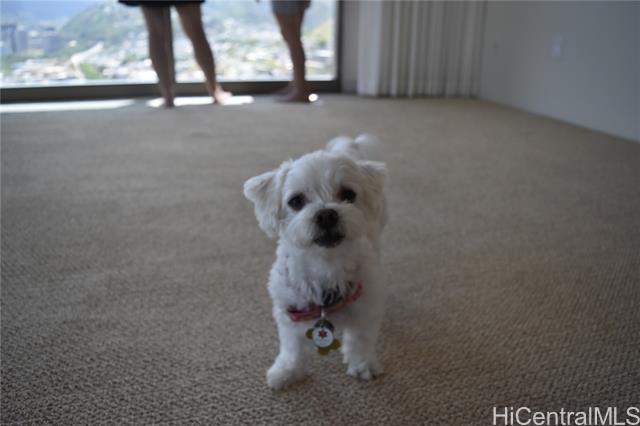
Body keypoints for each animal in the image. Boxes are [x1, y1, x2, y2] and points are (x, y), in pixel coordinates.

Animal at [243, 134, 388, 389]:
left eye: (348, 194)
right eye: (296, 201)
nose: (327, 214)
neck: (325, 265)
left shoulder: (366, 307)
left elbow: (361, 340)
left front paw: (363, 365)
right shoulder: (289, 312)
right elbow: (292, 348)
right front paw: (286, 372)